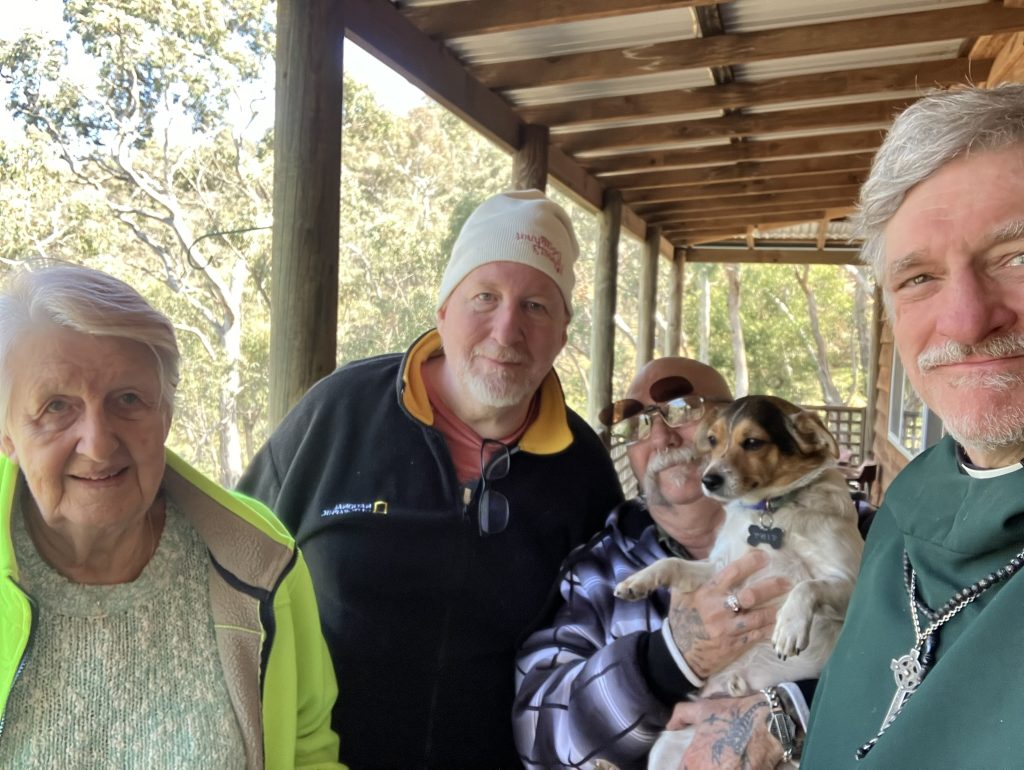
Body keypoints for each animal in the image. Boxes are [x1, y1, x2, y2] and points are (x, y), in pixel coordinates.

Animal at [614, 393, 864, 765]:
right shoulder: (719, 568)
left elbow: (807, 585)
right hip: (665, 748)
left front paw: (789, 626)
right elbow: (673, 562)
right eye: (713, 440)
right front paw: (638, 581)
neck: (771, 511)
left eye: (753, 443)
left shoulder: (848, 579)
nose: (708, 480)